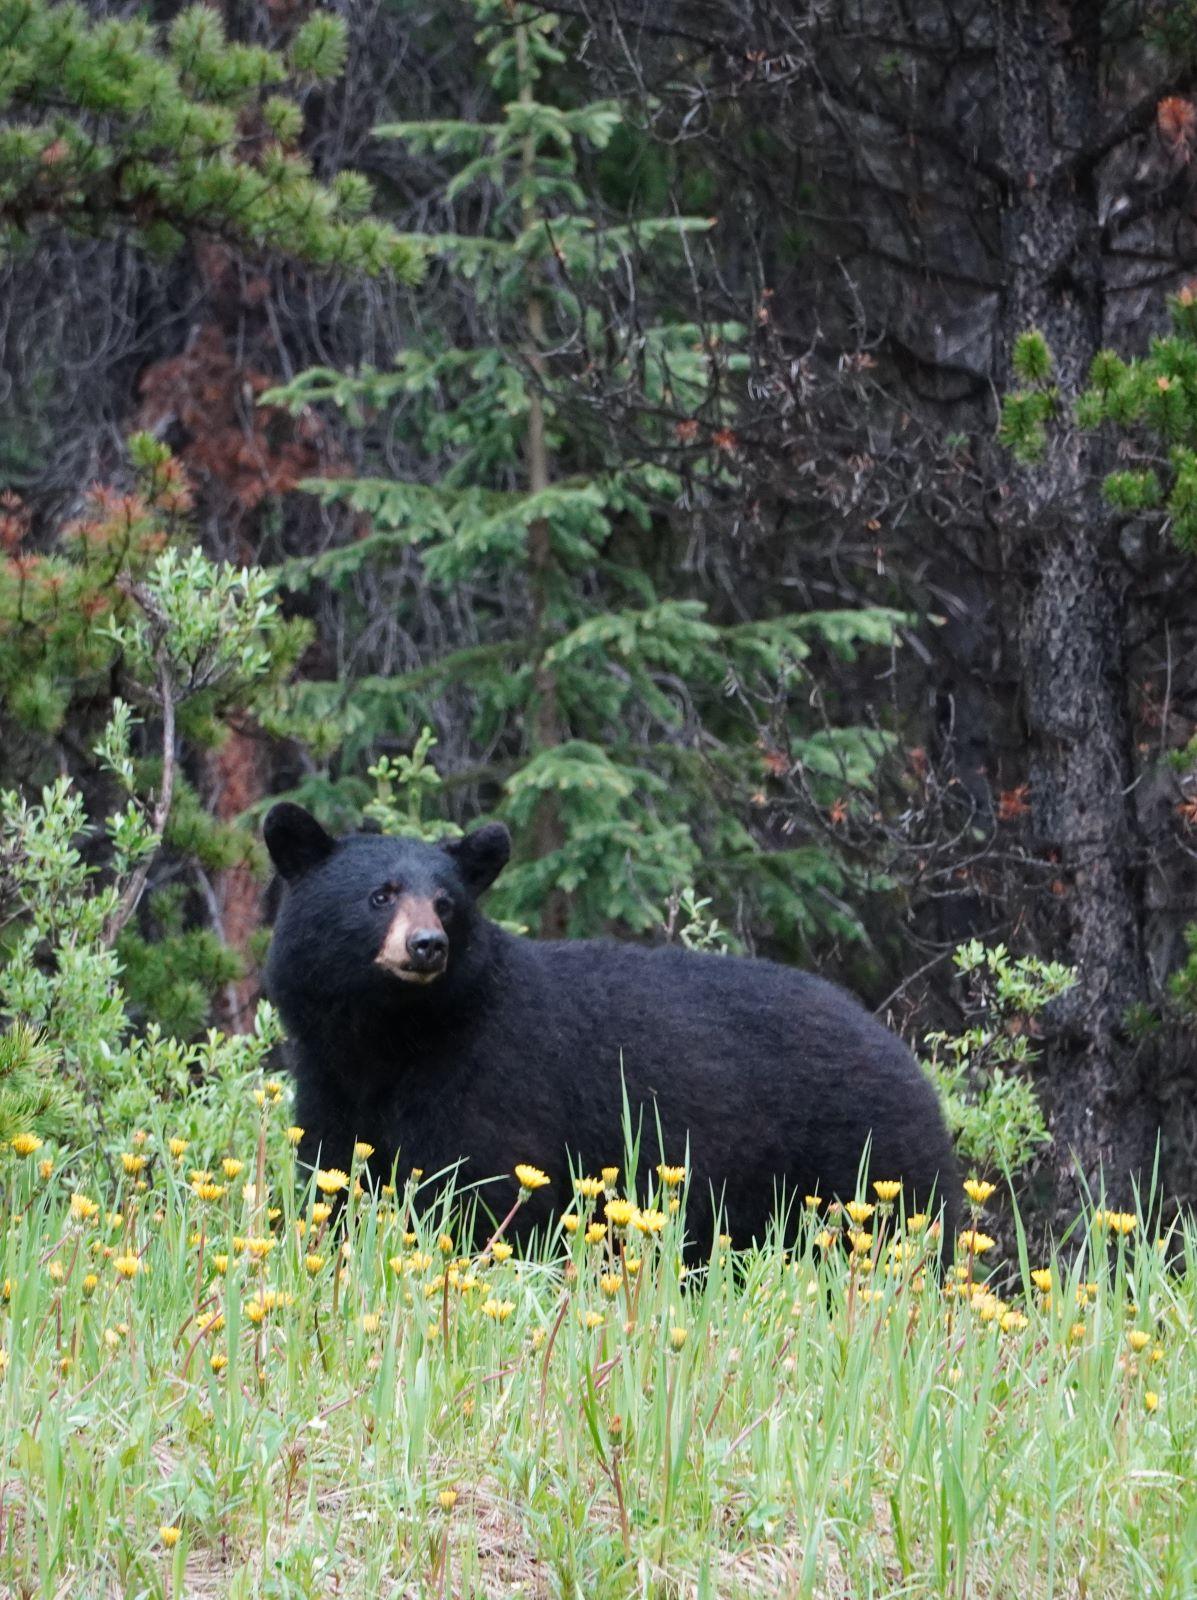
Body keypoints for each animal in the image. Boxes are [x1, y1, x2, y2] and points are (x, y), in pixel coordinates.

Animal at [264, 800, 960, 1248]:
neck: (391, 1036)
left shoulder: (490, 1076)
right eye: (380, 895)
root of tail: (903, 1055)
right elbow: (332, 1178)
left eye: (446, 903)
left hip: (867, 1160)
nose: (428, 945)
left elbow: (487, 1192)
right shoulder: (331, 1086)